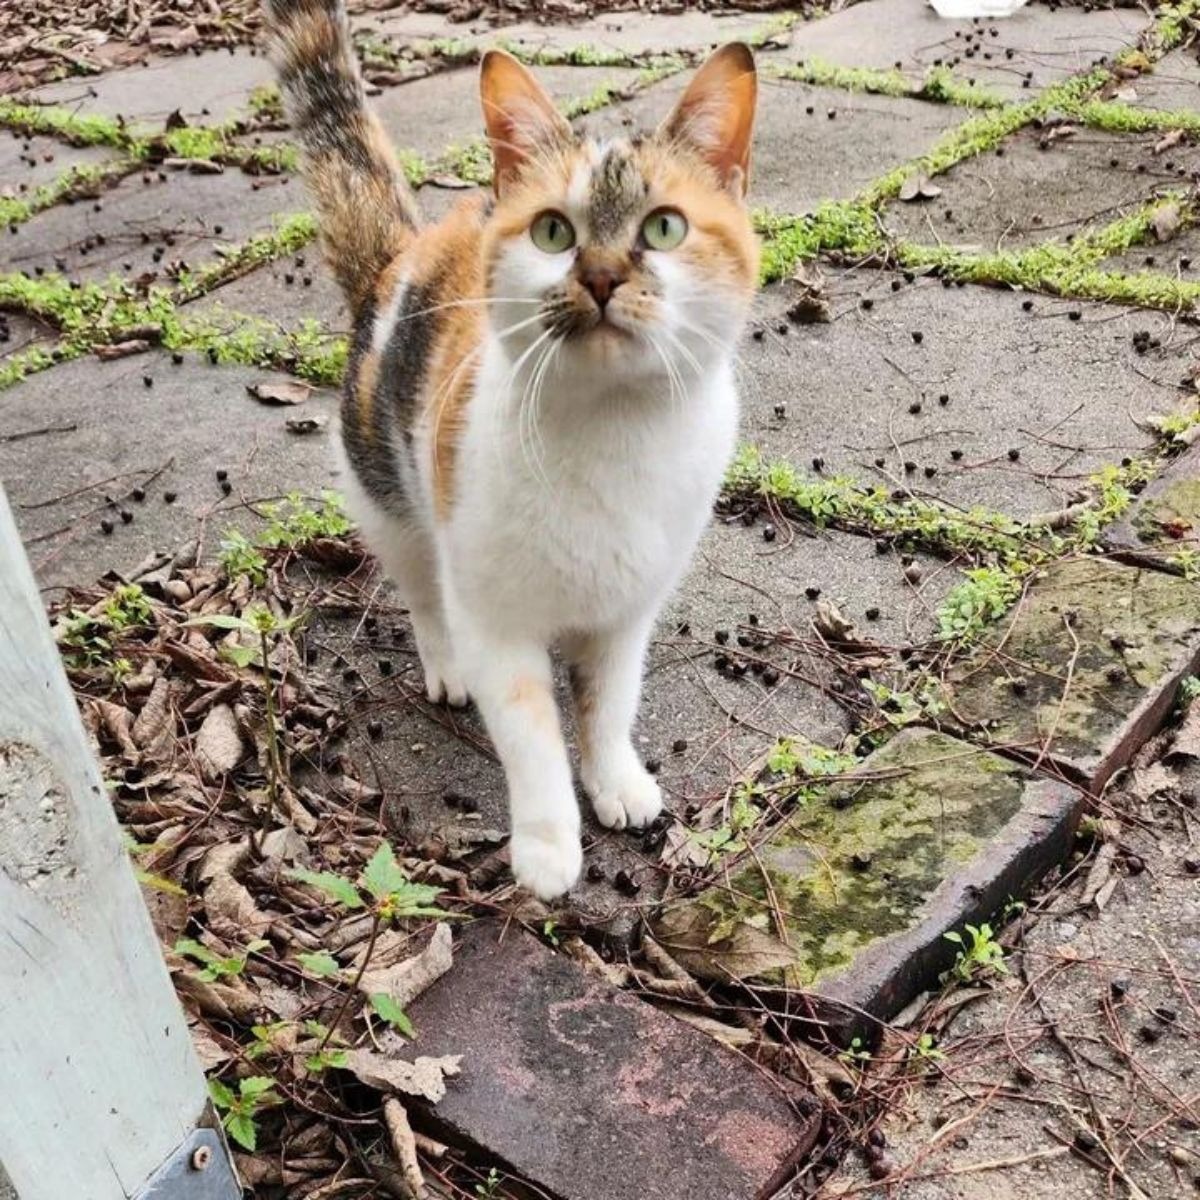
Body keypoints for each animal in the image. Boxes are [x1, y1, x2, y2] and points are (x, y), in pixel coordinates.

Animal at [265, 0, 758, 902]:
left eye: (664, 227)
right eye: (554, 232)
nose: (600, 276)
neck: (610, 435)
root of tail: (402, 254)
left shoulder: (627, 614)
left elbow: (608, 707)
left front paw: (616, 781)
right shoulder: (498, 622)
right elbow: (531, 741)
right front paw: (548, 846)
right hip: (391, 497)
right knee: (423, 592)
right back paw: (445, 665)